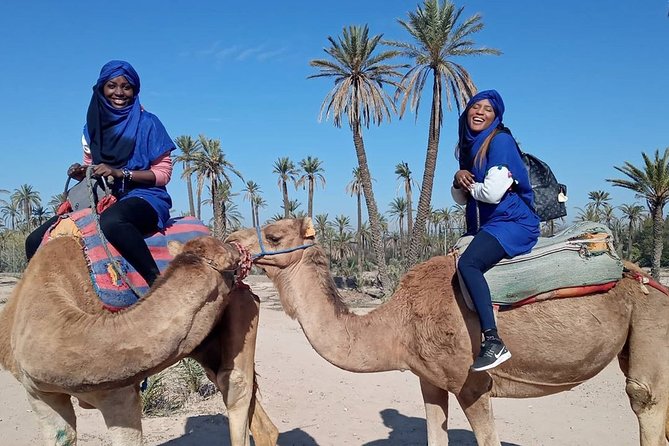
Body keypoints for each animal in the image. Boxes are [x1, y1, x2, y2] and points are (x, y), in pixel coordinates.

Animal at [0, 234, 278, 446]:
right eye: (233, 261)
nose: (240, 247)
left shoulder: (118, 395)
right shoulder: (39, 393)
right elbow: (63, 435)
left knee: (235, 383)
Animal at [228, 218, 669, 446]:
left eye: (274, 235)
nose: (231, 238)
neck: (397, 323)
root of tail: (644, 275)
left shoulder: (472, 385)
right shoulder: (430, 380)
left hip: (650, 318)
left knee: (644, 399)